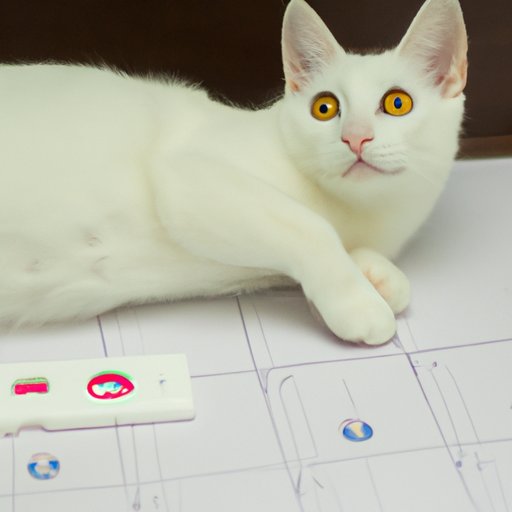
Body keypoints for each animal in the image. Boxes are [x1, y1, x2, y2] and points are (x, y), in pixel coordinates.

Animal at [0, 0, 467, 344]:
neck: (358, 213)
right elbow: (311, 229)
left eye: (397, 103)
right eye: (324, 107)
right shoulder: (188, 171)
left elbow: (376, 266)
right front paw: (360, 304)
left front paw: (377, 276)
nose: (355, 138)